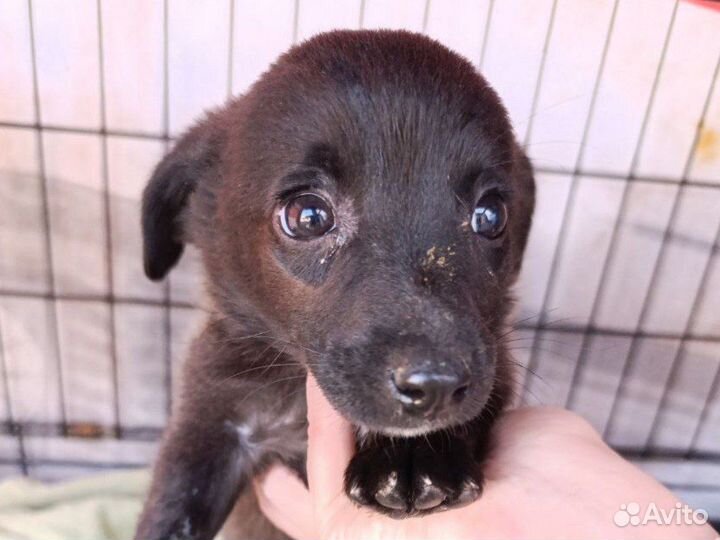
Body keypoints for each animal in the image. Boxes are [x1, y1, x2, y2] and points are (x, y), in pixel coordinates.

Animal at [135, 30, 536, 540]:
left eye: (490, 215)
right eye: (307, 216)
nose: (436, 385)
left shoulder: (496, 361)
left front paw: (414, 457)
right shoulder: (212, 417)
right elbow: (173, 506)